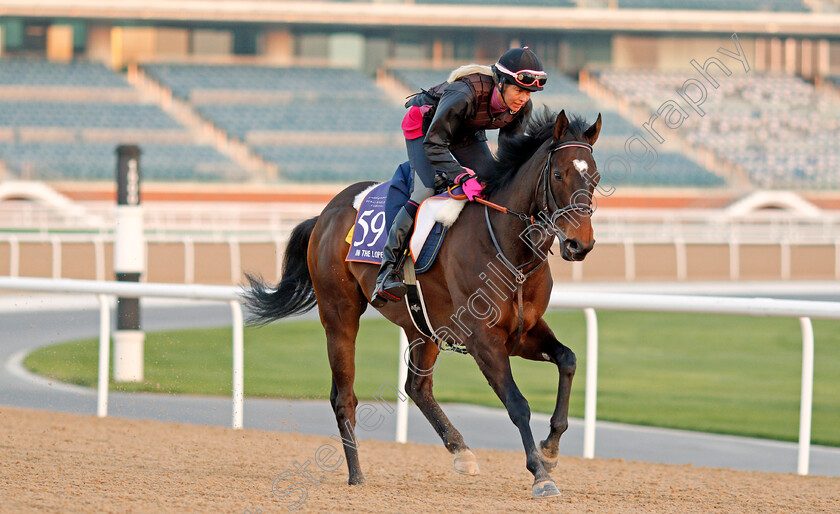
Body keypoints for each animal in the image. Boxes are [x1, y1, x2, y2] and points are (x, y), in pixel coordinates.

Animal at [246, 109, 600, 496]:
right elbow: (518, 403)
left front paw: (550, 449)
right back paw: (356, 474)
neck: (511, 251)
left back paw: (461, 452)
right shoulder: (483, 338)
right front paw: (540, 473)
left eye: (595, 178)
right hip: (339, 313)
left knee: (416, 387)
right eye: (558, 174)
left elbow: (568, 359)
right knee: (344, 396)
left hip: (422, 325)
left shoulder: (522, 331)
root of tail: (326, 213)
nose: (579, 245)